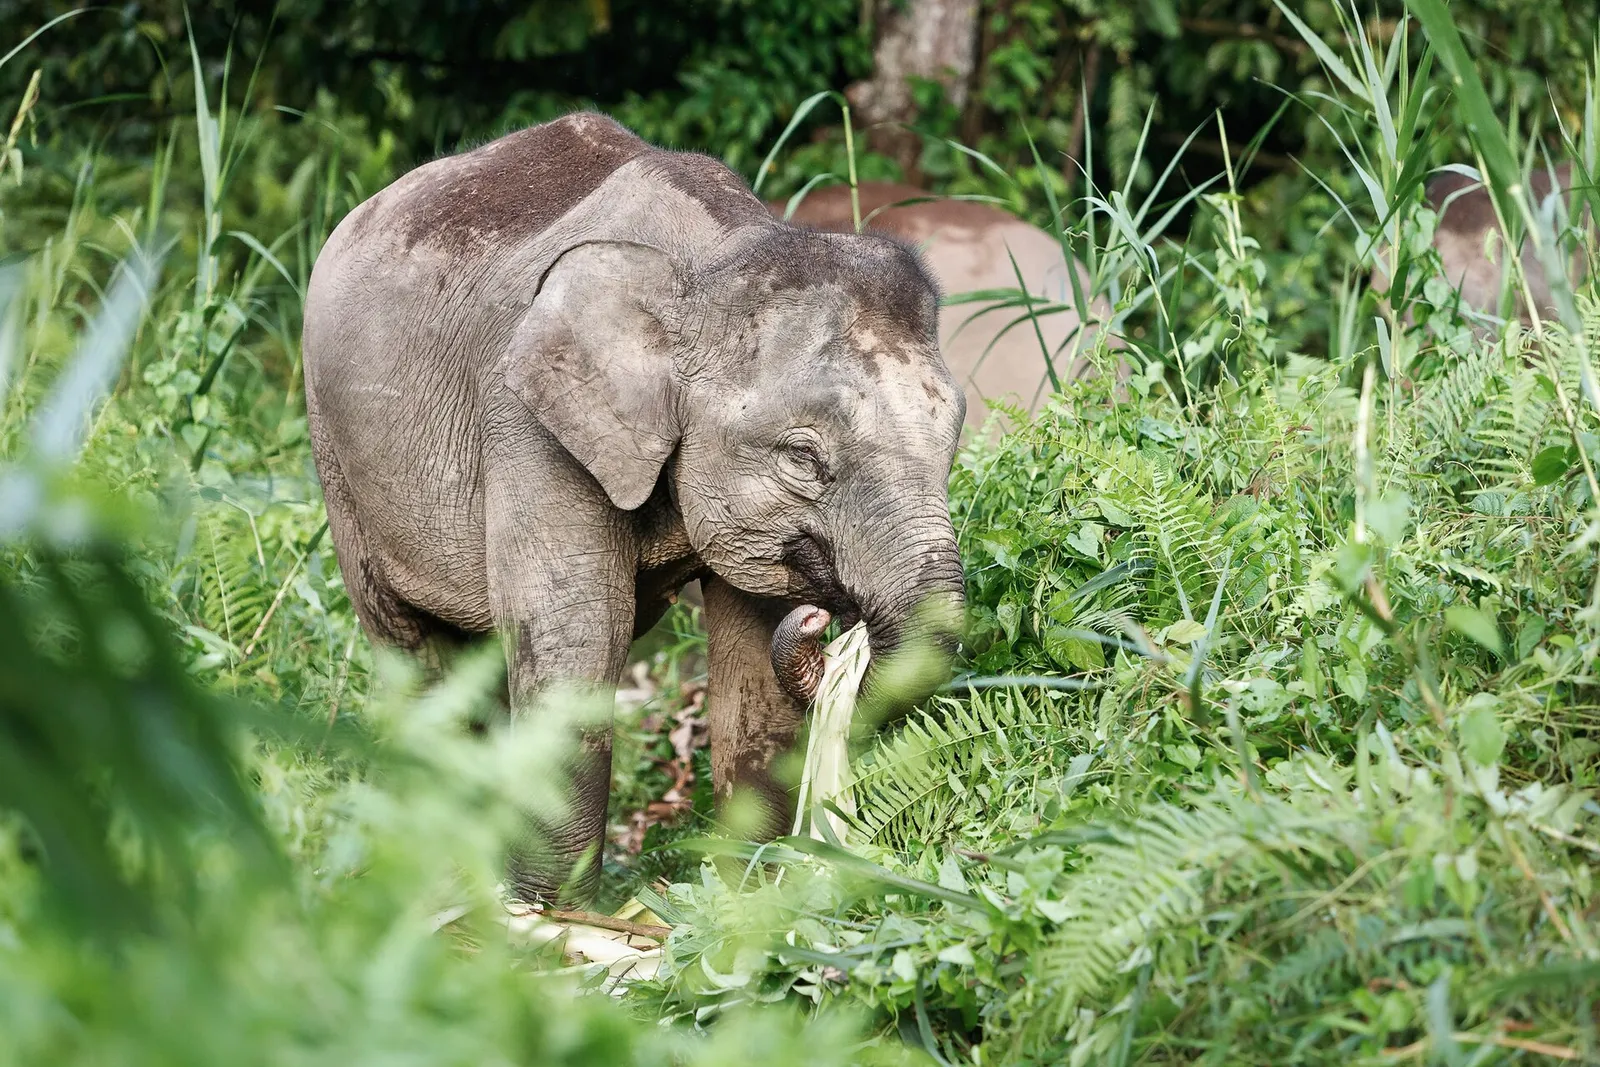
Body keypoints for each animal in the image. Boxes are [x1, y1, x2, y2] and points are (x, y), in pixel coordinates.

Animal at [301, 112, 968, 904]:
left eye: (955, 437)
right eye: (803, 458)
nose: (826, 621)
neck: (711, 255)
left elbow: (750, 649)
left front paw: (744, 894)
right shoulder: (525, 420)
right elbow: (578, 630)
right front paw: (553, 916)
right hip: (335, 451)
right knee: (411, 647)